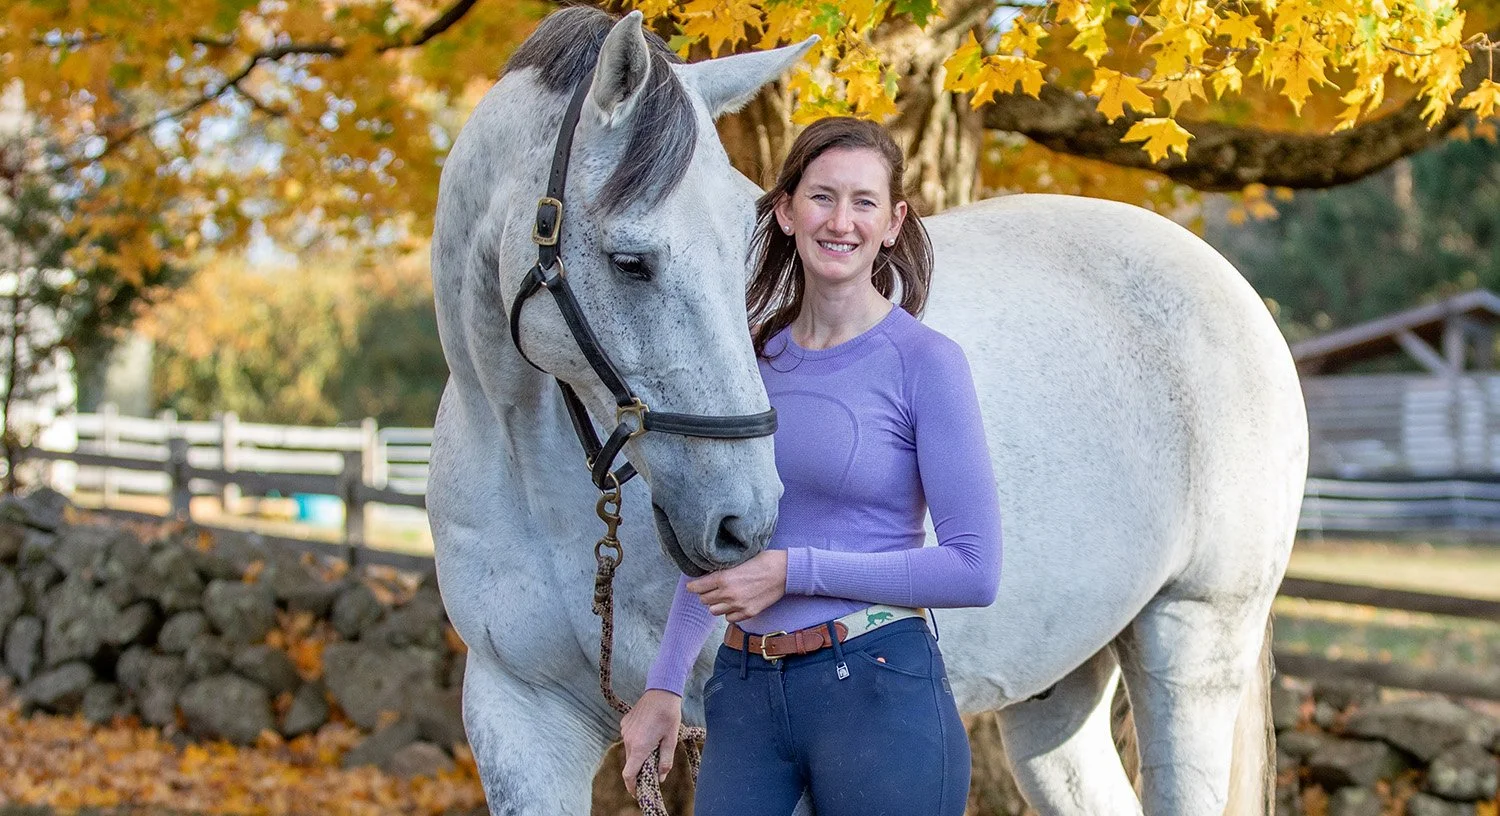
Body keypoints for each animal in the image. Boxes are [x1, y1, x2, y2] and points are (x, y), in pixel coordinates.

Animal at [428, 8, 1308, 816]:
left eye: (745, 246)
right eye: (629, 262)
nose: (747, 523)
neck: (532, 473)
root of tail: (1229, 288)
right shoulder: (520, 717)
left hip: (1194, 643)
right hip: (1055, 682)